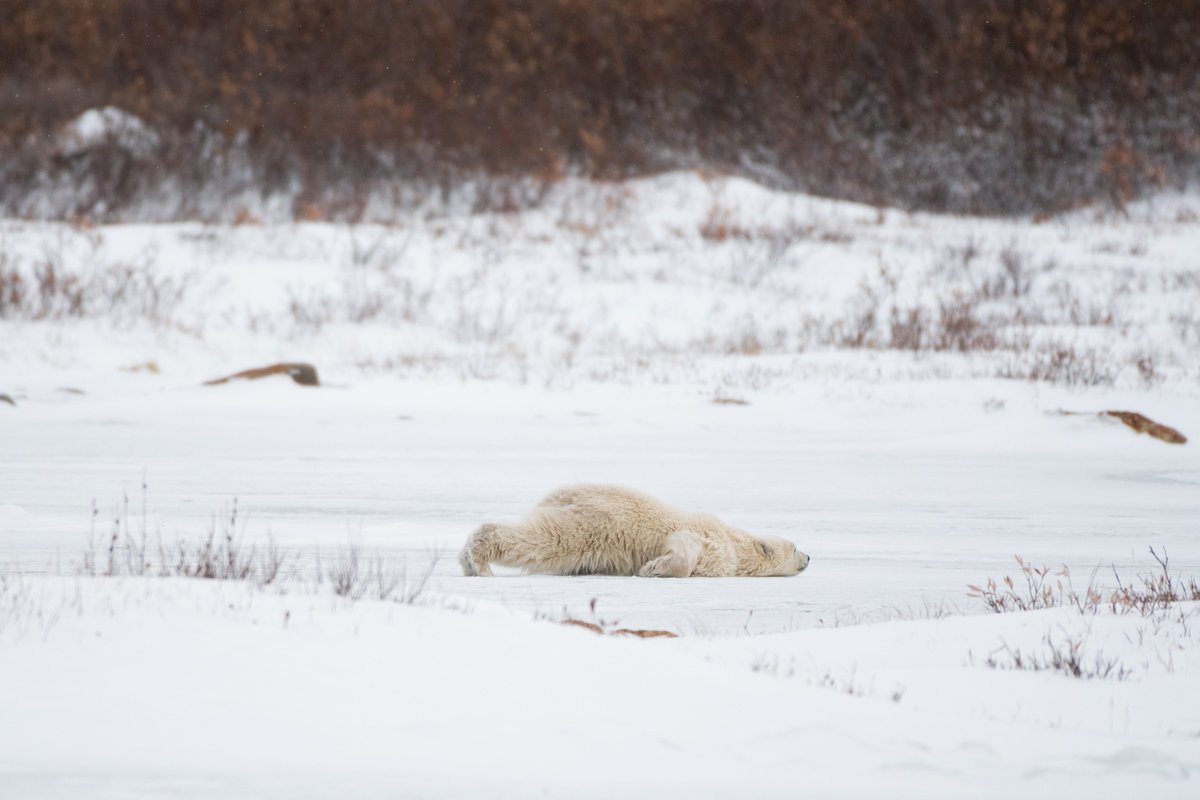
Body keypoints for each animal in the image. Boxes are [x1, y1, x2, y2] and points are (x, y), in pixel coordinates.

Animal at [458, 484, 810, 578]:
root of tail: (562, 493)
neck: (736, 543)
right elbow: (684, 546)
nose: (809, 557)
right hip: (596, 521)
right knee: (544, 540)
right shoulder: (706, 536)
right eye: (794, 547)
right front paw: (652, 569)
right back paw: (476, 562)